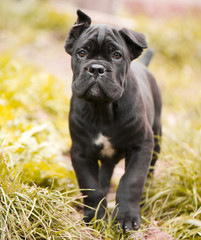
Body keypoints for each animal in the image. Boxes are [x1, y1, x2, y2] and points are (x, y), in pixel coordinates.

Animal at [64, 10, 162, 232]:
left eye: (117, 55)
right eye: (81, 53)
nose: (96, 68)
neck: (102, 109)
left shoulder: (142, 145)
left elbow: (131, 181)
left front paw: (127, 218)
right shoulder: (81, 152)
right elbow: (91, 187)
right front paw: (95, 219)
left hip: (157, 137)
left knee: (150, 171)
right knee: (104, 176)